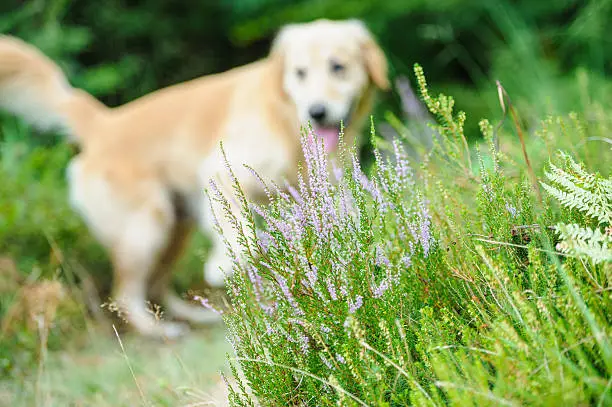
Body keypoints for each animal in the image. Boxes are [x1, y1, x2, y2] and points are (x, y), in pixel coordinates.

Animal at [0, 18, 390, 338]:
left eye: (338, 67)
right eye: (300, 73)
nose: (317, 111)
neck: (286, 120)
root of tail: (102, 123)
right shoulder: (221, 171)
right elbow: (242, 233)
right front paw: (224, 263)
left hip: (176, 228)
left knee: (156, 286)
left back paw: (195, 316)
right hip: (147, 225)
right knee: (126, 294)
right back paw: (159, 331)